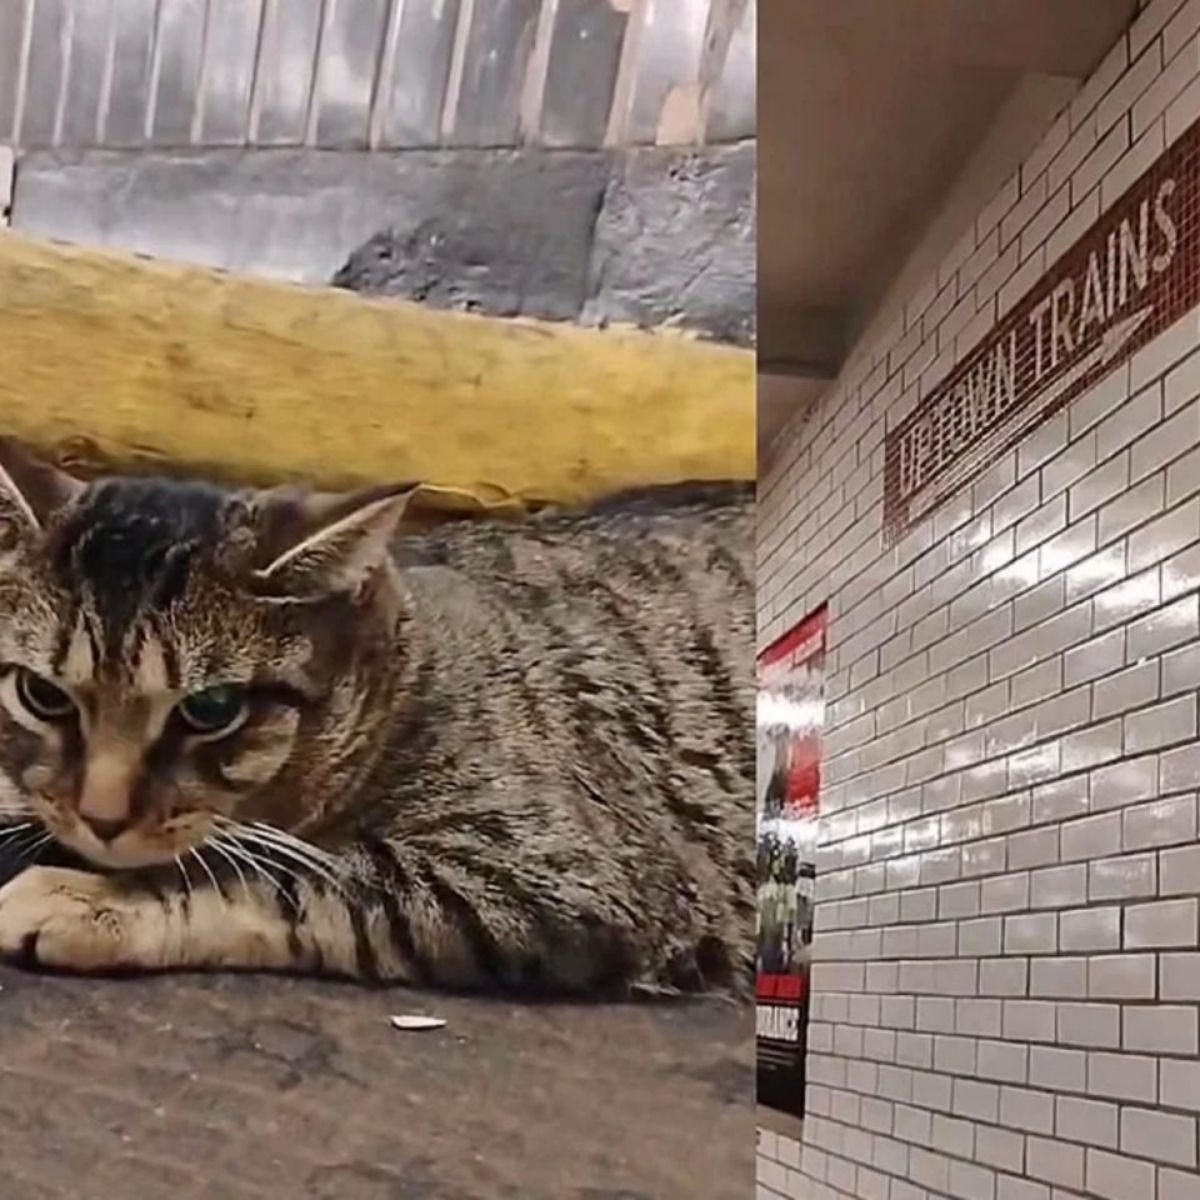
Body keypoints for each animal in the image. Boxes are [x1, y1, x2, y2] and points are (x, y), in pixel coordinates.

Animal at [0, 439, 753, 993]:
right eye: (42, 695)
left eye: (210, 709)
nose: (100, 818)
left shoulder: (550, 870)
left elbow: (277, 879)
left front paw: (93, 897)